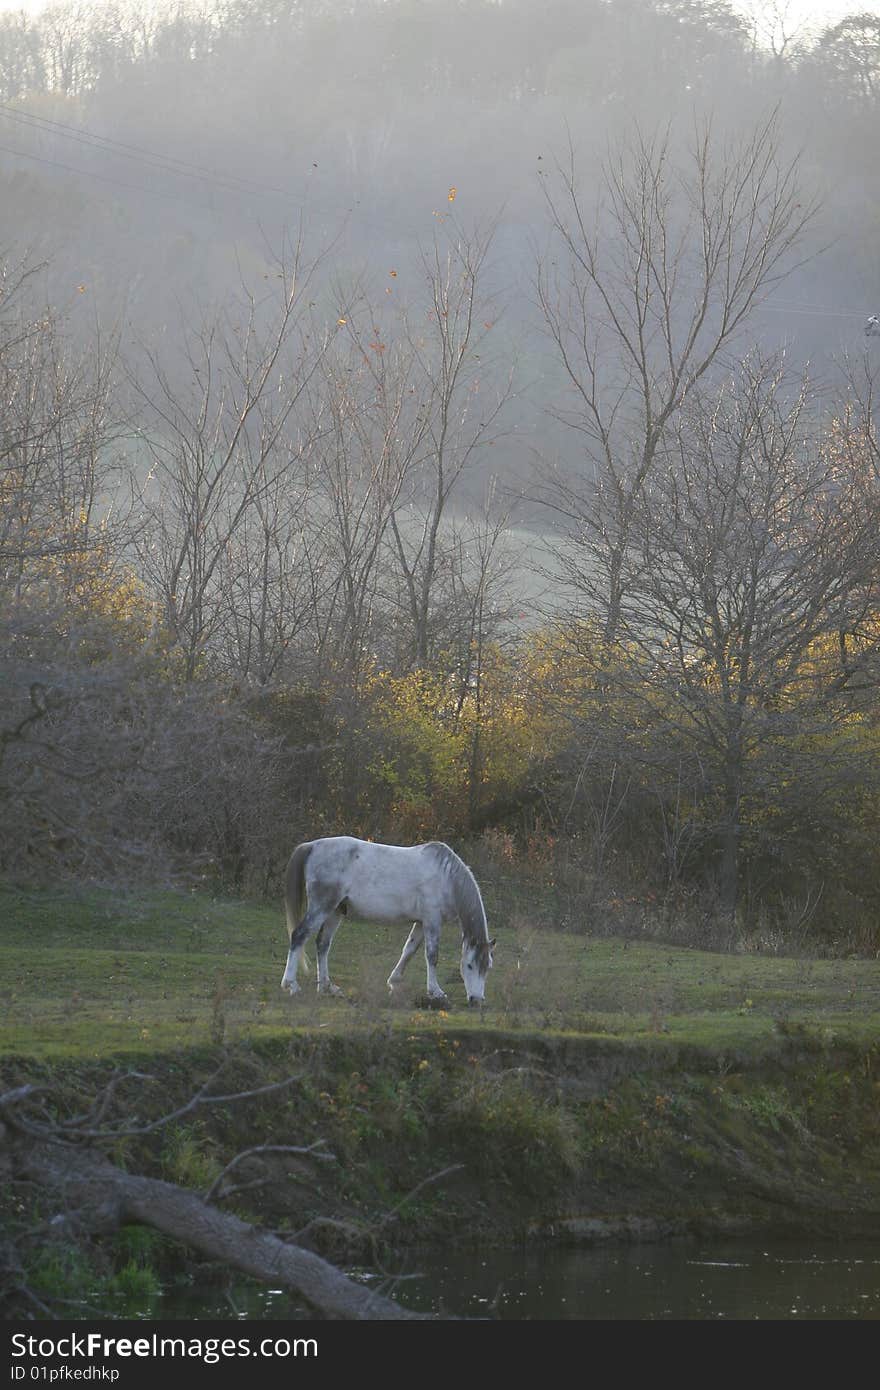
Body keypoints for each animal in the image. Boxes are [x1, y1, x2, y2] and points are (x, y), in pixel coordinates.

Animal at [280, 828, 494, 1006]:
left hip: (335, 911)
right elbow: (432, 955)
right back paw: (292, 985)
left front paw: (394, 982)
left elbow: (409, 950)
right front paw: (436, 992)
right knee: (299, 936)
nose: (476, 1000)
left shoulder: (421, 922)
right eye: (469, 965)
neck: (446, 878)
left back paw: (326, 987)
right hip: (321, 907)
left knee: (323, 944)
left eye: (488, 966)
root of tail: (312, 846)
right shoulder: (432, 920)